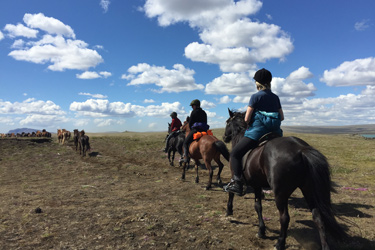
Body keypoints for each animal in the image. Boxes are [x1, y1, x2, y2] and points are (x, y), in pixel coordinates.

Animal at [223, 110, 346, 250]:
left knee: (284, 218)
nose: (224, 137)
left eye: (227, 122)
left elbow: (239, 196)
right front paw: (261, 230)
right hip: (308, 189)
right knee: (318, 217)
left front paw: (230, 211)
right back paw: (325, 246)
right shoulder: (257, 185)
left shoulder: (244, 180)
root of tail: (301, 149)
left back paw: (280, 243)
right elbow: (258, 206)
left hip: (280, 194)